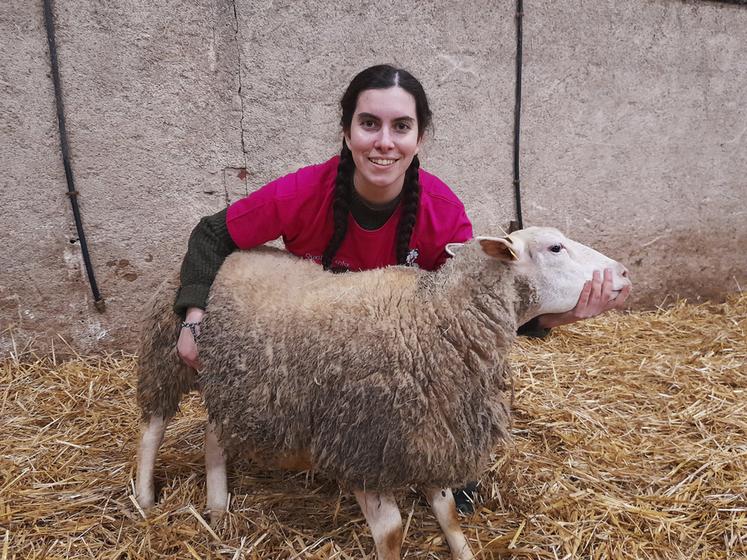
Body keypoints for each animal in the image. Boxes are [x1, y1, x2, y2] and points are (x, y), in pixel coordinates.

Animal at [134, 226, 632, 560]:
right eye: (555, 247)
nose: (623, 273)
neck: (437, 318)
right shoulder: (361, 443)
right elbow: (391, 532)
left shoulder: (431, 434)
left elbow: (447, 511)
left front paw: (463, 550)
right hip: (167, 355)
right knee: (154, 426)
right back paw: (144, 497)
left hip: (237, 383)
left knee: (214, 434)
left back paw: (218, 508)